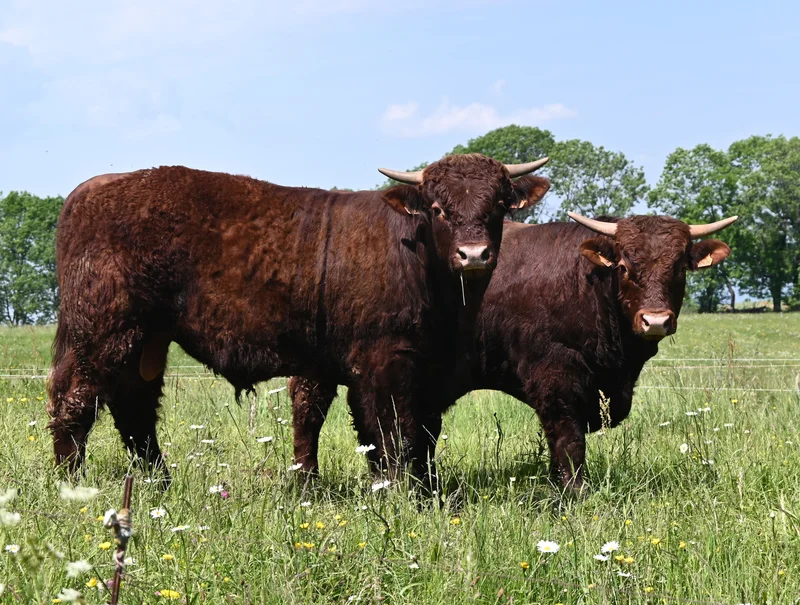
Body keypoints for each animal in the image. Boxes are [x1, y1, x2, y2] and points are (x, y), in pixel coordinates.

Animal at [47, 154, 551, 485]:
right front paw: (400, 492)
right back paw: (73, 481)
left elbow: (372, 430)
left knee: (133, 406)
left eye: (498, 205)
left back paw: (159, 481)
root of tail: (92, 189)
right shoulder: (385, 362)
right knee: (75, 399)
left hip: (146, 341)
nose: (474, 254)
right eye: (439, 208)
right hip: (106, 333)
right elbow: (392, 432)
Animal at [288, 213, 737, 491]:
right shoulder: (556, 376)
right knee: (309, 414)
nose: (655, 320)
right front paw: (574, 495)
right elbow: (568, 441)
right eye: (625, 266)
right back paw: (307, 483)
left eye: (679, 268)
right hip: (317, 368)